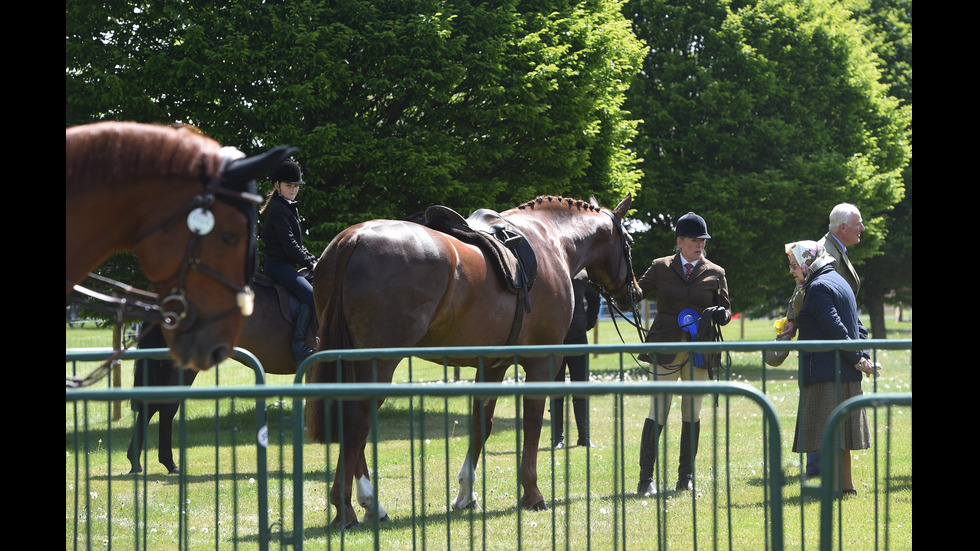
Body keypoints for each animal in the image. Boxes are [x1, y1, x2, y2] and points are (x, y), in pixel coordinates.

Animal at [308, 195, 644, 532]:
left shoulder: (492, 366)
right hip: (377, 364)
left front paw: (466, 494)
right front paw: (532, 493)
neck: (551, 239)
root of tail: (354, 239)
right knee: (356, 423)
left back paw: (370, 506)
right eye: (628, 243)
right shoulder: (542, 363)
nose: (636, 293)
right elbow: (532, 424)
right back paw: (349, 508)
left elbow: (481, 424)